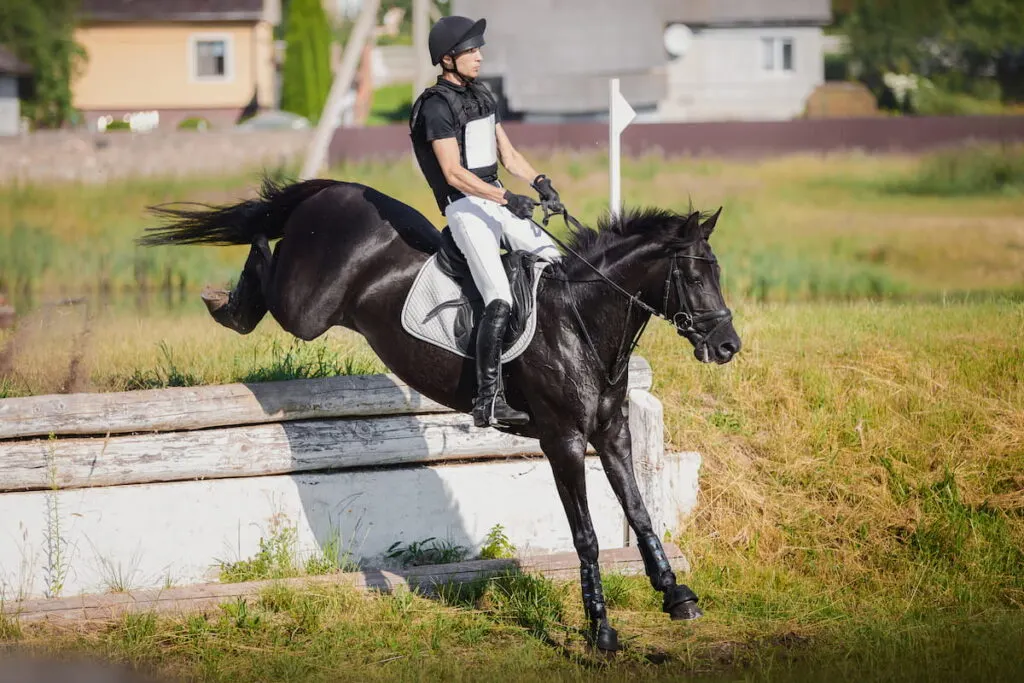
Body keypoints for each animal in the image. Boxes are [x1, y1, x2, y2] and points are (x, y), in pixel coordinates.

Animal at [140, 176, 741, 651]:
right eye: (693, 277)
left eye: (717, 273)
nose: (728, 346)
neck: (580, 319)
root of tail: (337, 189)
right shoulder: (563, 439)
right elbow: (587, 534)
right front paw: (602, 632)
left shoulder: (612, 432)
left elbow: (639, 512)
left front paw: (677, 596)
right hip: (307, 308)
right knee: (267, 256)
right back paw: (226, 300)